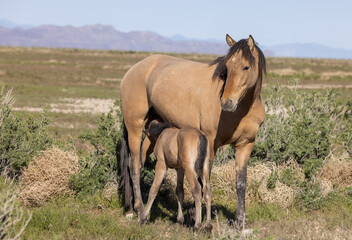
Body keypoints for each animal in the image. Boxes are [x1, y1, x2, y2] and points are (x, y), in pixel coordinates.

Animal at [119, 34, 266, 229]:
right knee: (134, 165)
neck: (242, 110)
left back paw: (133, 208)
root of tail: (133, 70)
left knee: (140, 162)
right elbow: (205, 181)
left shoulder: (245, 145)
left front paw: (240, 222)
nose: (227, 102)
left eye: (246, 66)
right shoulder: (210, 144)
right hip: (134, 127)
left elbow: (240, 183)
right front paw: (200, 217)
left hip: (151, 132)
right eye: (226, 67)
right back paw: (139, 209)